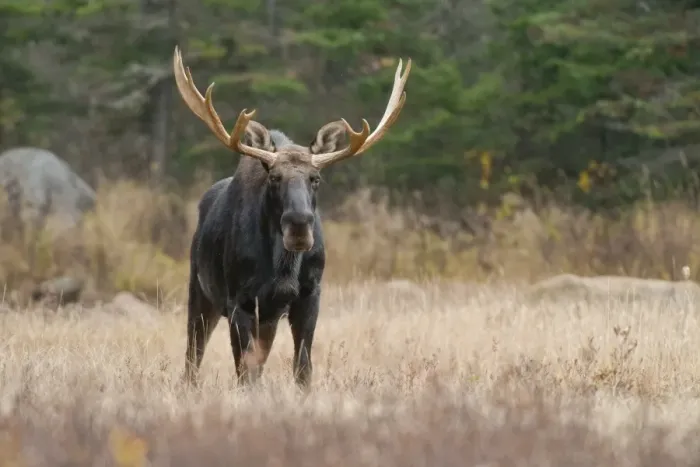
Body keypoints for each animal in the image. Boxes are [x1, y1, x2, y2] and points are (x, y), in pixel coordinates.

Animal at [172, 46, 411, 389]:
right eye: (274, 177)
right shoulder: (239, 301)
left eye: (316, 178)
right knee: (193, 357)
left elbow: (302, 369)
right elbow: (244, 372)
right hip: (201, 292)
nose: (299, 226)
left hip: (267, 318)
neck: (283, 269)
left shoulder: (309, 296)